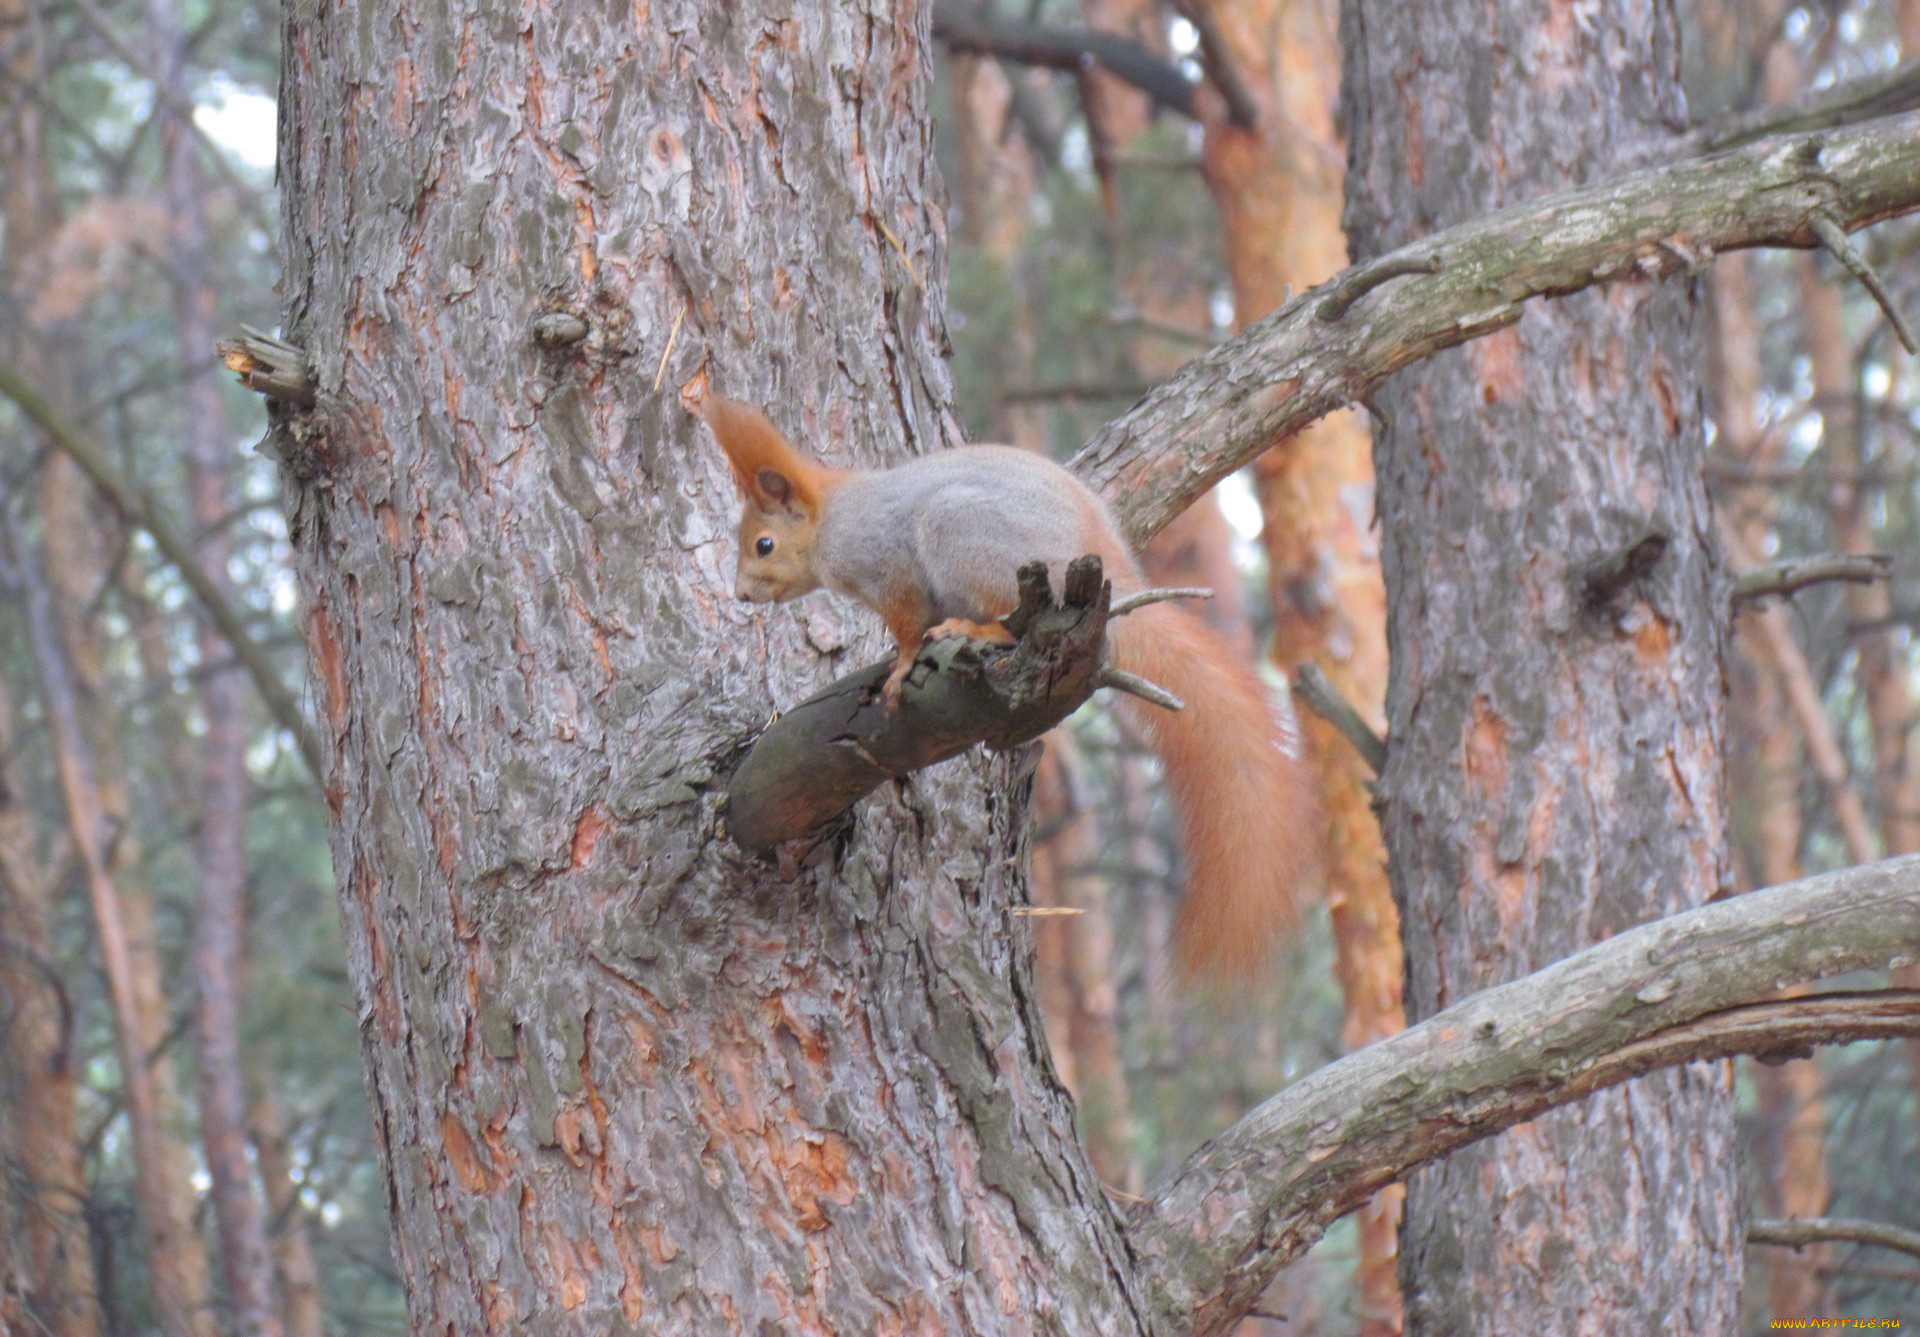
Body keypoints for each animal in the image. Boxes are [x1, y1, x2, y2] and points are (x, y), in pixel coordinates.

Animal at [706, 397, 1320, 983]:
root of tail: (1102, 553)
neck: (832, 520)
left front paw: (900, 666)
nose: (740, 595)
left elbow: (905, 624)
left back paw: (978, 631)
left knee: (1005, 619)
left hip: (961, 532)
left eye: (763, 545)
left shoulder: (886, 566)